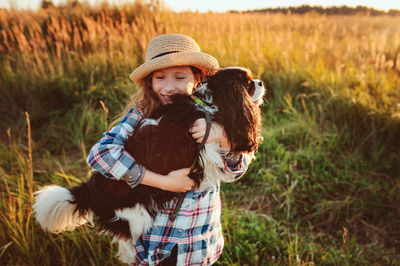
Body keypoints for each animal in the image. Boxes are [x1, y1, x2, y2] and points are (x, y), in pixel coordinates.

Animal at [32, 67, 266, 264]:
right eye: (248, 83)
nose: (261, 82)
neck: (208, 107)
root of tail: (91, 188)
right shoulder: (204, 149)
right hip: (135, 216)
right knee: (126, 241)